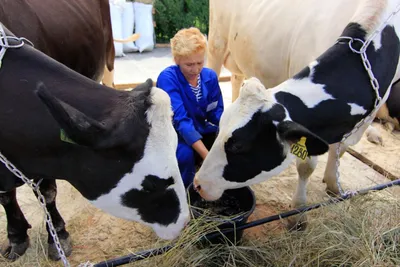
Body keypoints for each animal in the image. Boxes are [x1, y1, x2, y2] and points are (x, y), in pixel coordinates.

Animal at [195, 1, 400, 229]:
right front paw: (299, 213)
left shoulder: (376, 103)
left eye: (238, 145)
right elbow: (306, 165)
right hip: (217, 42)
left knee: (236, 78)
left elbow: (342, 148)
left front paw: (333, 184)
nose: (198, 183)